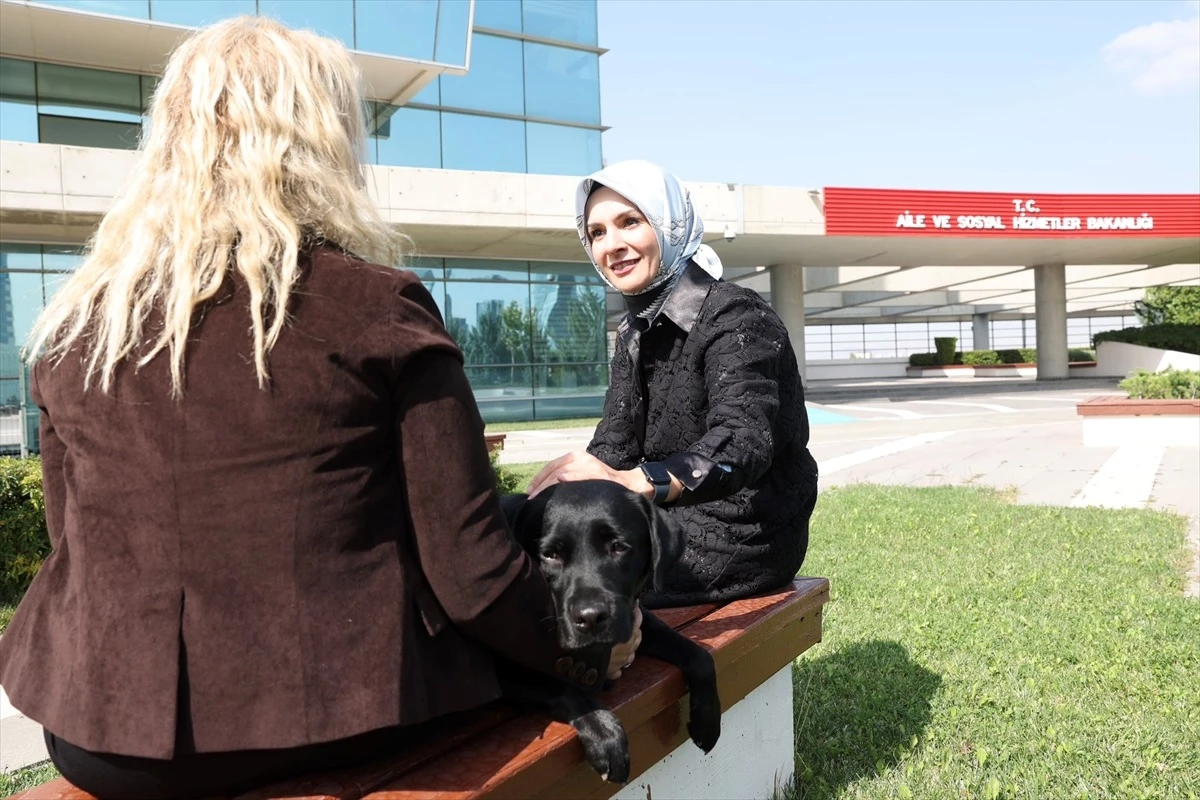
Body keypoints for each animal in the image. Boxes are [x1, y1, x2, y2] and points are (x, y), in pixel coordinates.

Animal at [496, 482, 720, 782]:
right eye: (549, 555)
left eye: (618, 547)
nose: (591, 618)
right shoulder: (506, 671)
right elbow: (563, 686)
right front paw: (605, 735)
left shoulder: (635, 619)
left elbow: (700, 657)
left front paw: (707, 721)